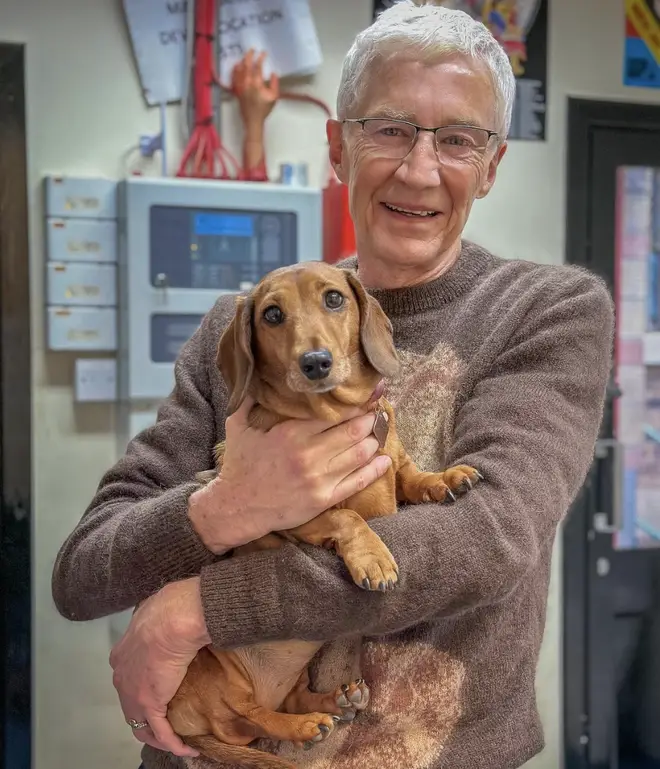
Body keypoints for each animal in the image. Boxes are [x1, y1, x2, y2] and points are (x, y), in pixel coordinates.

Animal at [168, 260, 482, 764]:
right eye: (272, 314)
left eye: (334, 298)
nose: (315, 362)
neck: (333, 416)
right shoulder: (289, 512)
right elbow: (345, 517)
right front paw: (373, 558)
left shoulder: (392, 461)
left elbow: (411, 474)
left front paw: (445, 478)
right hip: (213, 670)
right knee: (247, 715)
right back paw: (303, 726)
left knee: (286, 698)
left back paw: (336, 700)